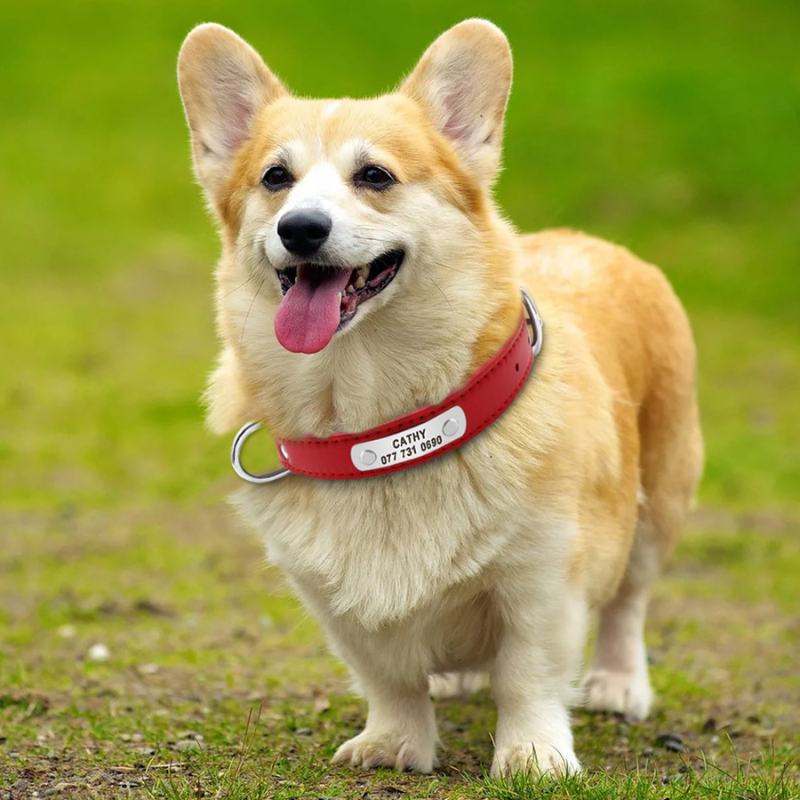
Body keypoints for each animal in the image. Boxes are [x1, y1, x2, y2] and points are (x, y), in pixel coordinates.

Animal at [180, 18, 700, 780]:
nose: (300, 228)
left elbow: (528, 676)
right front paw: (393, 743)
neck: (379, 425)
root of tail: (592, 240)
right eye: (276, 178)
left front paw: (533, 755)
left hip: (660, 498)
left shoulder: (543, 576)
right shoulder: (335, 603)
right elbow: (389, 677)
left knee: (629, 603)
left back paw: (618, 682)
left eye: (375, 176)